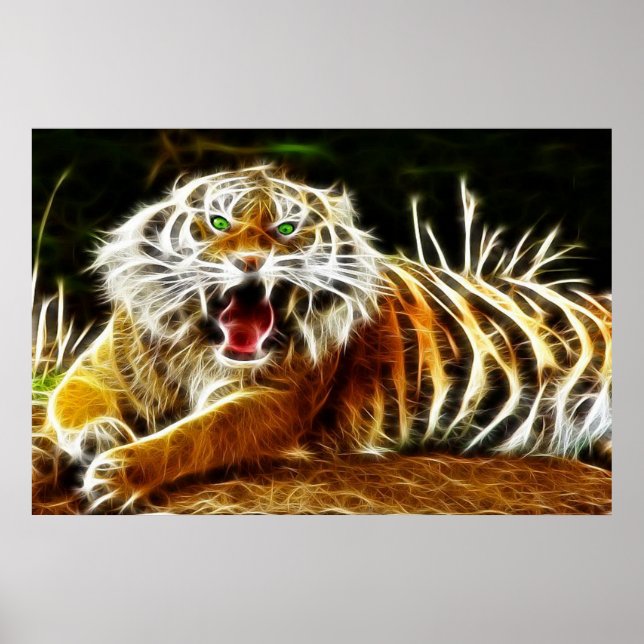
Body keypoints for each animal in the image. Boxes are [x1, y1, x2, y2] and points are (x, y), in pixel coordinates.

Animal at [37, 164, 612, 511]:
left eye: (288, 229)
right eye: (218, 222)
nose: (251, 261)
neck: (198, 344)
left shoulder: (275, 401)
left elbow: (197, 434)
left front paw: (120, 474)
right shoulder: (99, 367)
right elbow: (70, 401)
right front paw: (100, 437)